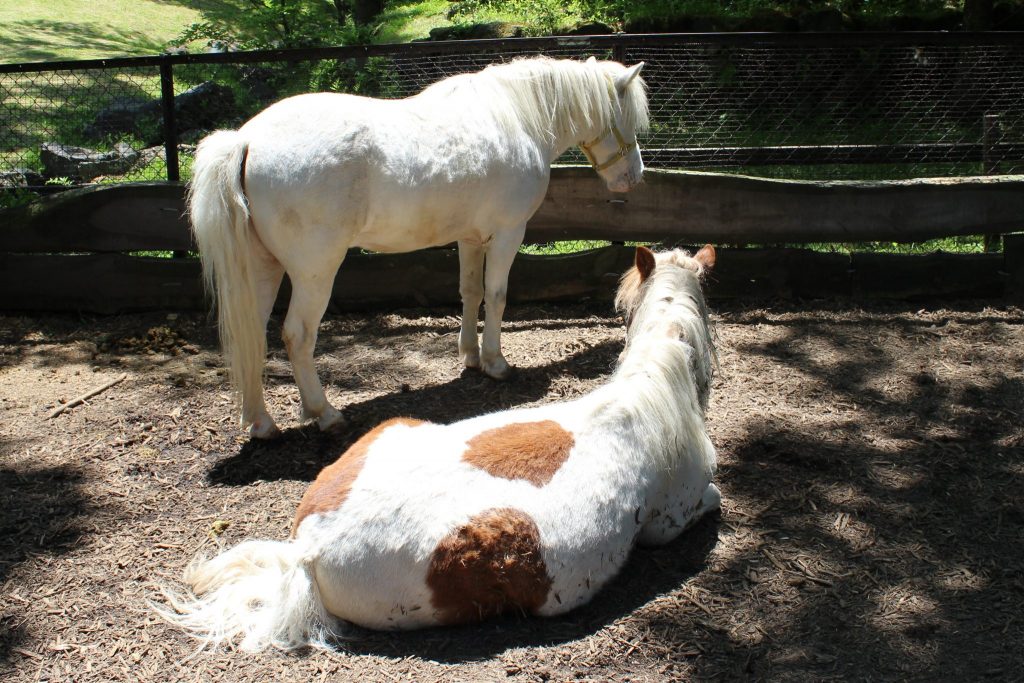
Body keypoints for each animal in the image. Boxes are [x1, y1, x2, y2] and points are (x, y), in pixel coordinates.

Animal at [190, 54, 647, 438]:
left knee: (253, 332)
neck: (518, 118)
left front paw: (471, 357)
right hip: (315, 271)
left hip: (262, 267)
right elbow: (497, 295)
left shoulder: (471, 238)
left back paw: (261, 422)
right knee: (297, 336)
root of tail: (246, 140)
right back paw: (325, 413)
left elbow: (470, 292)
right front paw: (496, 363)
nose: (634, 178)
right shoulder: (508, 233)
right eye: (625, 118)